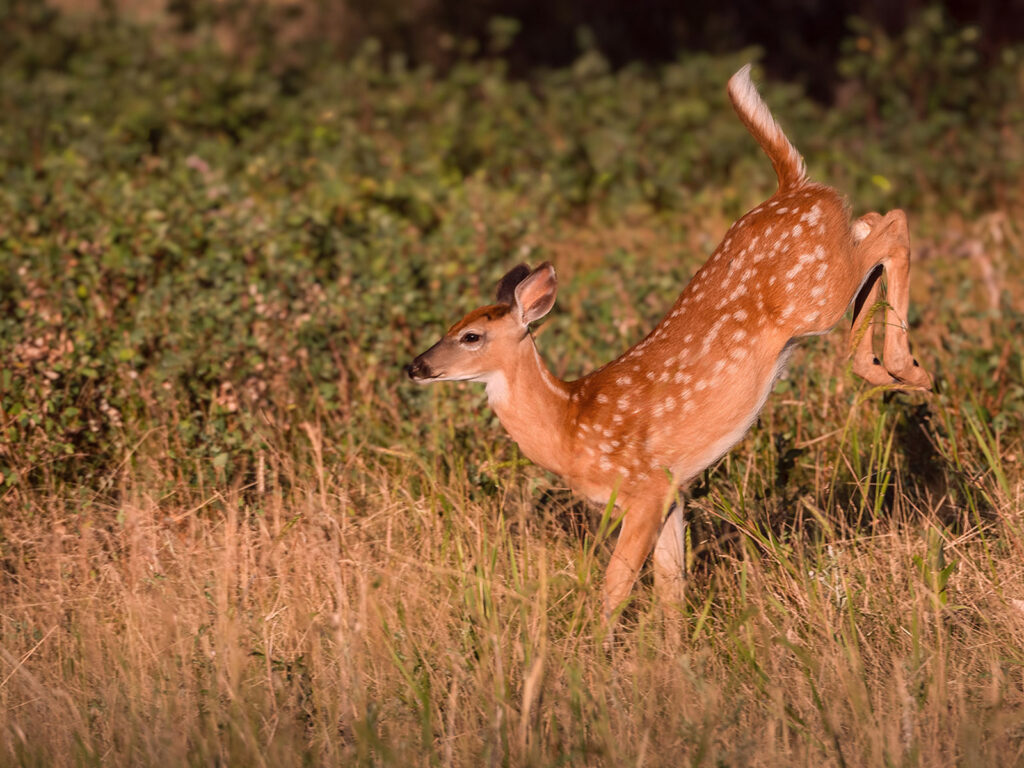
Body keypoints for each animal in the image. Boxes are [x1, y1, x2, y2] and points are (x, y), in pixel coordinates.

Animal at [406, 64, 932, 630]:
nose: (416, 365)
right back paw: (881, 364)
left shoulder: (644, 488)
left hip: (815, 297)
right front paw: (673, 648)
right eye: (450, 324)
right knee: (871, 221)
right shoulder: (674, 492)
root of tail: (794, 185)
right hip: (828, 272)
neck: (568, 425)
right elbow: (671, 587)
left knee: (894, 225)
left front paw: (595, 646)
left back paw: (903, 368)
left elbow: (615, 586)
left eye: (471, 336)